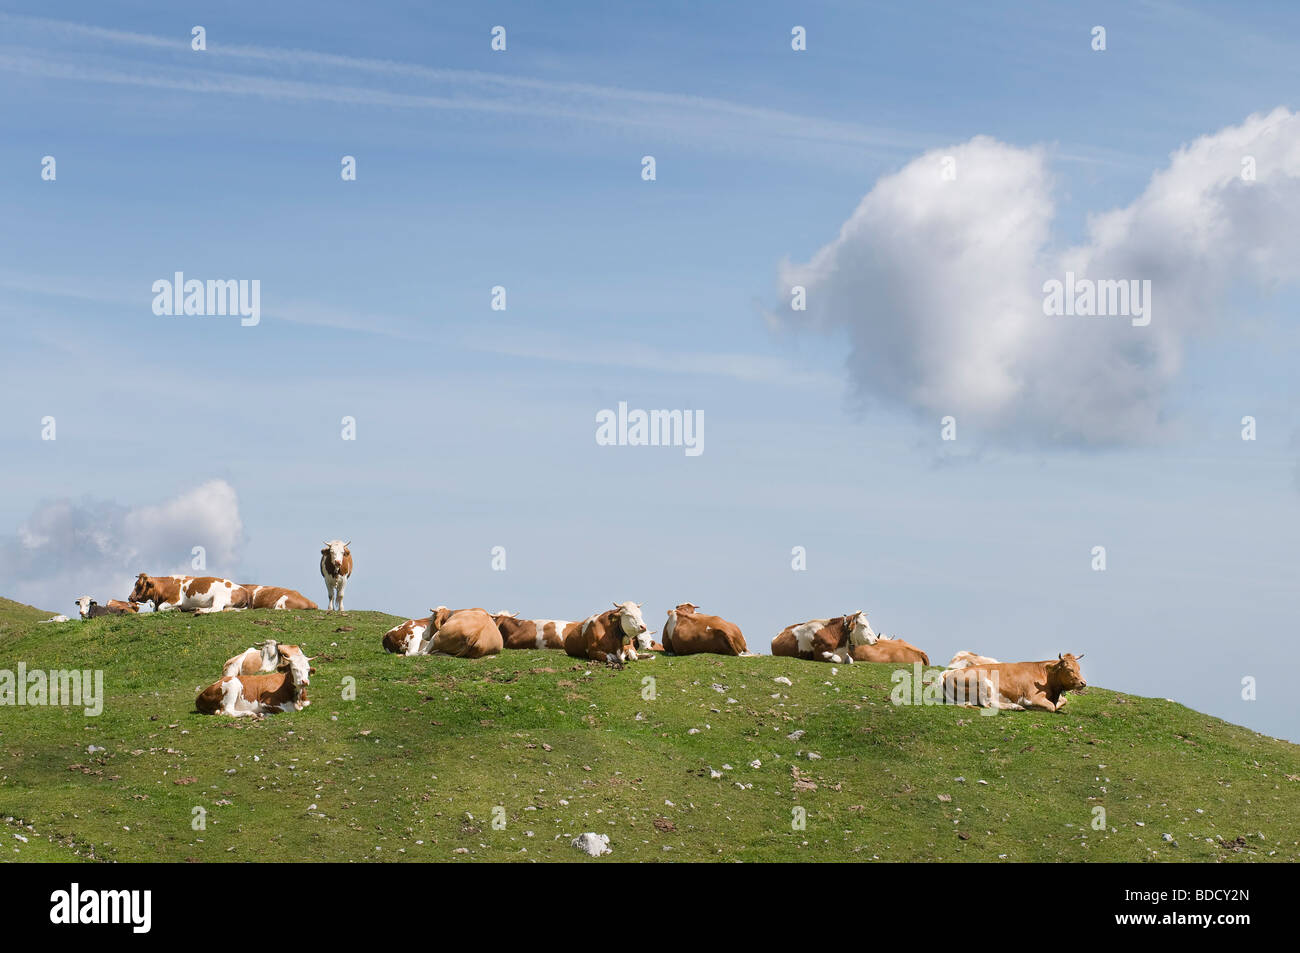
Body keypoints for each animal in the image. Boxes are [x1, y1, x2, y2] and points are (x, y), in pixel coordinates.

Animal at [935, 650, 1086, 712]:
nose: (1083, 683)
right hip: (983, 683)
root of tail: (948, 673)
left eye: (1079, 668)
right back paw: (1016, 707)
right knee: (989, 704)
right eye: (1069, 669)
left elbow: (1063, 701)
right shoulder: (1032, 697)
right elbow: (1051, 707)